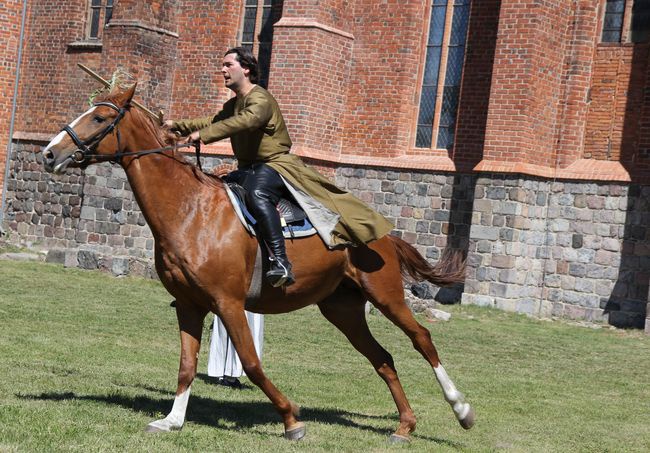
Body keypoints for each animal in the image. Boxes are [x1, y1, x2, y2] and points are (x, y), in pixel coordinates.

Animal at [43, 85, 474, 442]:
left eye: (100, 117)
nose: (49, 153)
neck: (190, 209)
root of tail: (383, 234)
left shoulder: (229, 304)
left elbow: (250, 363)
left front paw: (291, 418)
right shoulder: (189, 305)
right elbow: (185, 364)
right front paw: (173, 420)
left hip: (386, 297)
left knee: (422, 339)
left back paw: (461, 409)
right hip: (343, 309)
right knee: (382, 358)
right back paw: (405, 425)